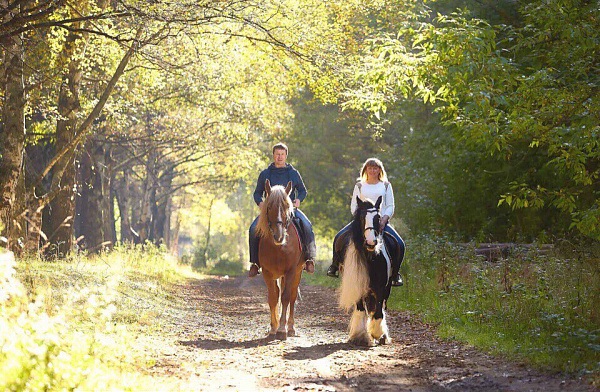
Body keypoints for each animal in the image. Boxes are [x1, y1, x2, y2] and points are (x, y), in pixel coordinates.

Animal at [256, 179, 308, 338]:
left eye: (286, 206)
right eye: (269, 206)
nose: (278, 236)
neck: (278, 247)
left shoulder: (291, 271)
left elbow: (285, 297)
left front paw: (282, 329)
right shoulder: (267, 272)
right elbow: (273, 297)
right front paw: (274, 327)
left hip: (298, 272)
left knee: (292, 296)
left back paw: (290, 328)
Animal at [338, 196, 398, 346]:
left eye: (378, 218)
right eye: (361, 217)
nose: (371, 242)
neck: (370, 258)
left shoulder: (381, 288)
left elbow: (378, 311)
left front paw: (377, 334)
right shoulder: (358, 284)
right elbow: (360, 309)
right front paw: (359, 336)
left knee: (381, 307)